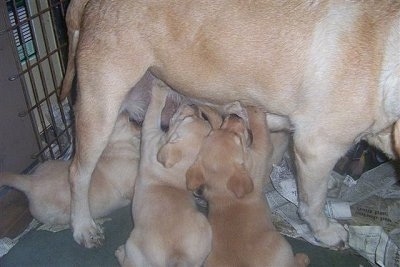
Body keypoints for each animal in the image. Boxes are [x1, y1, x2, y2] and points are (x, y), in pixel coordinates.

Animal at [0, 113, 140, 228]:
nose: (140, 124)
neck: (115, 147)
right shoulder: (129, 185)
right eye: (130, 119)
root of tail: (30, 181)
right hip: (58, 215)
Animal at [114, 85, 211, 266]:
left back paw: (120, 253)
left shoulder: (149, 133)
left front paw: (160, 88)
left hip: (133, 247)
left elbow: (154, 110)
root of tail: (178, 257)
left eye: (187, 118)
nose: (194, 105)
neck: (179, 168)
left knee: (128, 261)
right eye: (200, 116)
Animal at [187, 107, 310, 267]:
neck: (224, 192)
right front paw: (254, 110)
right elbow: (260, 130)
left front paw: (208, 111)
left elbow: (216, 121)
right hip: (282, 246)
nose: (234, 115)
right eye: (238, 138)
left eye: (222, 130)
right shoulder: (261, 153)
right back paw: (302, 258)